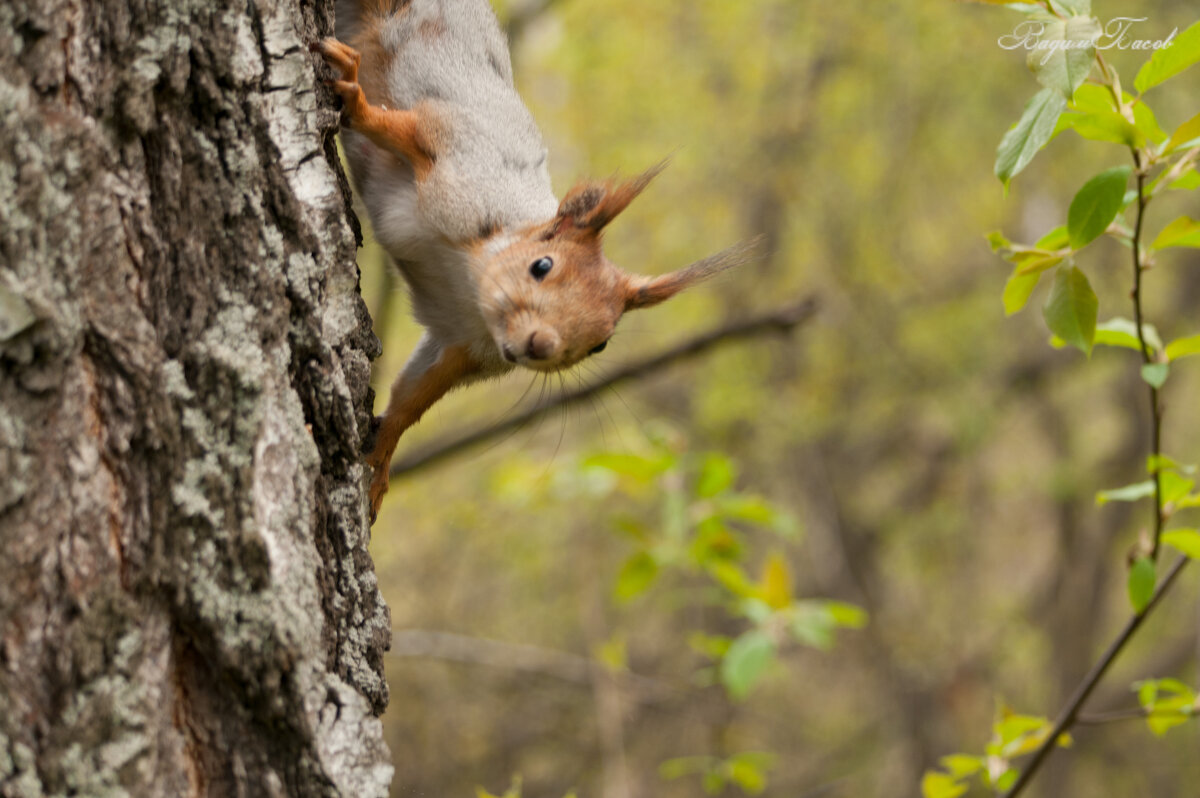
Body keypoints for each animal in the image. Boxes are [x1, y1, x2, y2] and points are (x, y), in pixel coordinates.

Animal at [319, 1, 748, 523]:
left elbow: (411, 398)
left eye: (601, 344)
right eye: (541, 266)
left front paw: (379, 462)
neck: (468, 281)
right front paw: (355, 98)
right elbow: (396, 129)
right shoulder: (458, 156)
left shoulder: (461, 343)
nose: (541, 345)